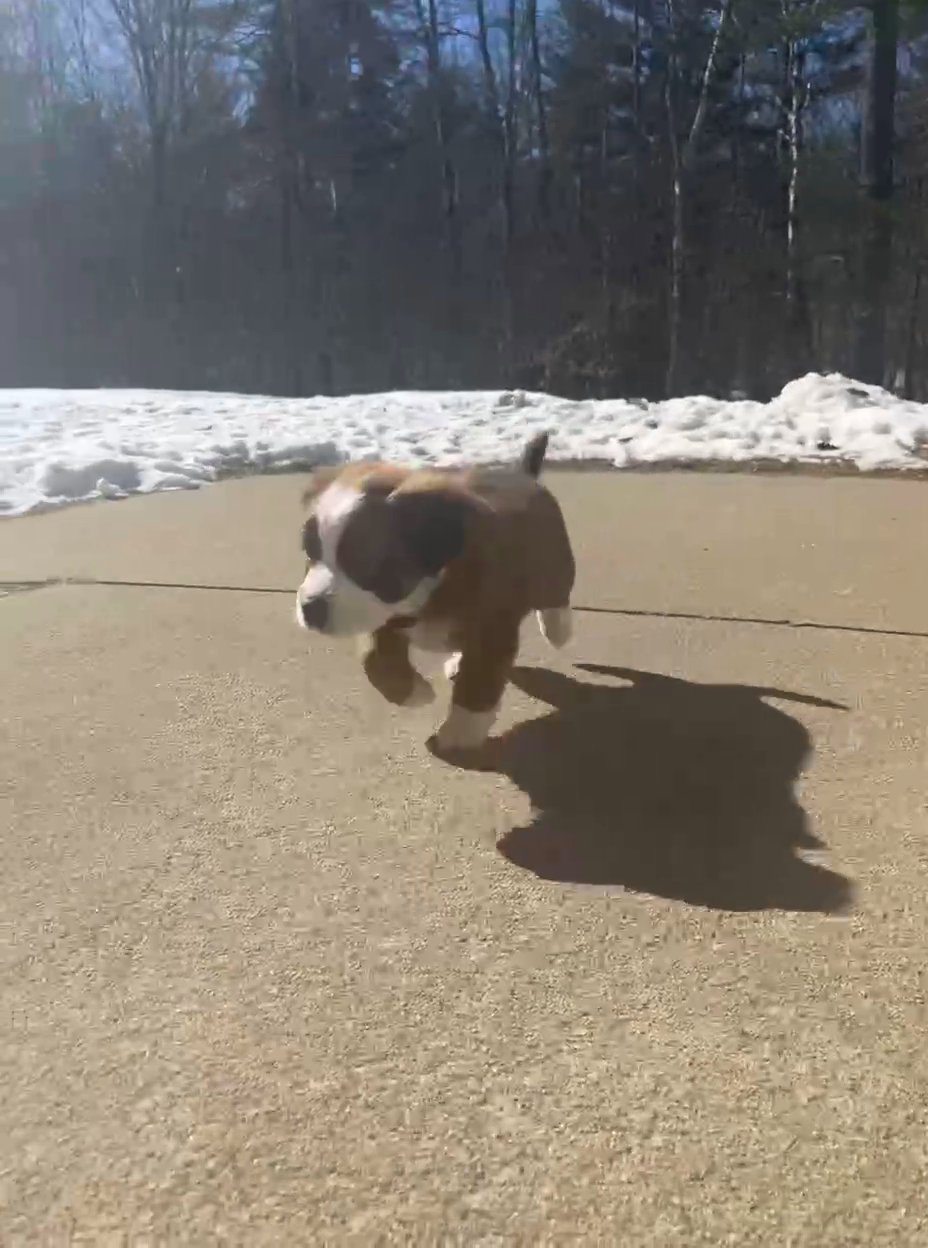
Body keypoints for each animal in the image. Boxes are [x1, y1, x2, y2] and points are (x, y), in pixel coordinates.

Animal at [295, 434, 573, 753]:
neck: (427, 589)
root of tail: (522, 474)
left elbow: (479, 680)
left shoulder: (492, 631)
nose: (310, 607)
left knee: (556, 596)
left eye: (364, 561)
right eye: (310, 552)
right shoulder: (382, 621)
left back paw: (557, 629)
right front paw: (413, 693)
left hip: (554, 563)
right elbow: (373, 658)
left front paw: (461, 730)